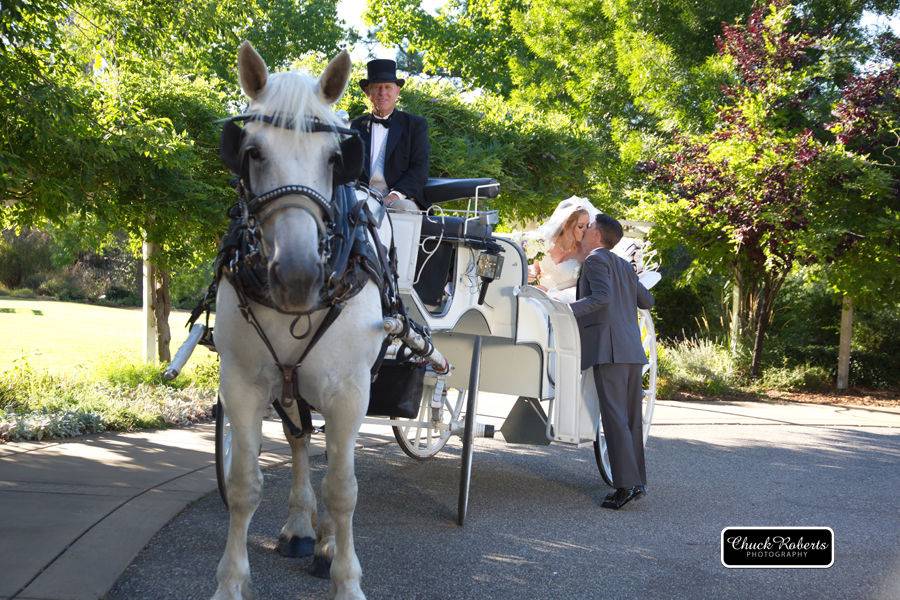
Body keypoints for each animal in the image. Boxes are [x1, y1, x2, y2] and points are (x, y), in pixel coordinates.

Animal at [214, 42, 384, 600]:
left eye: (336, 158)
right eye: (252, 152)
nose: (296, 276)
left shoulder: (351, 390)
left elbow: (344, 489)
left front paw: (346, 579)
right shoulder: (243, 383)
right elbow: (244, 484)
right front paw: (231, 580)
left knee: (330, 461)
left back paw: (327, 541)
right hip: (290, 385)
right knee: (301, 442)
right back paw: (301, 529)